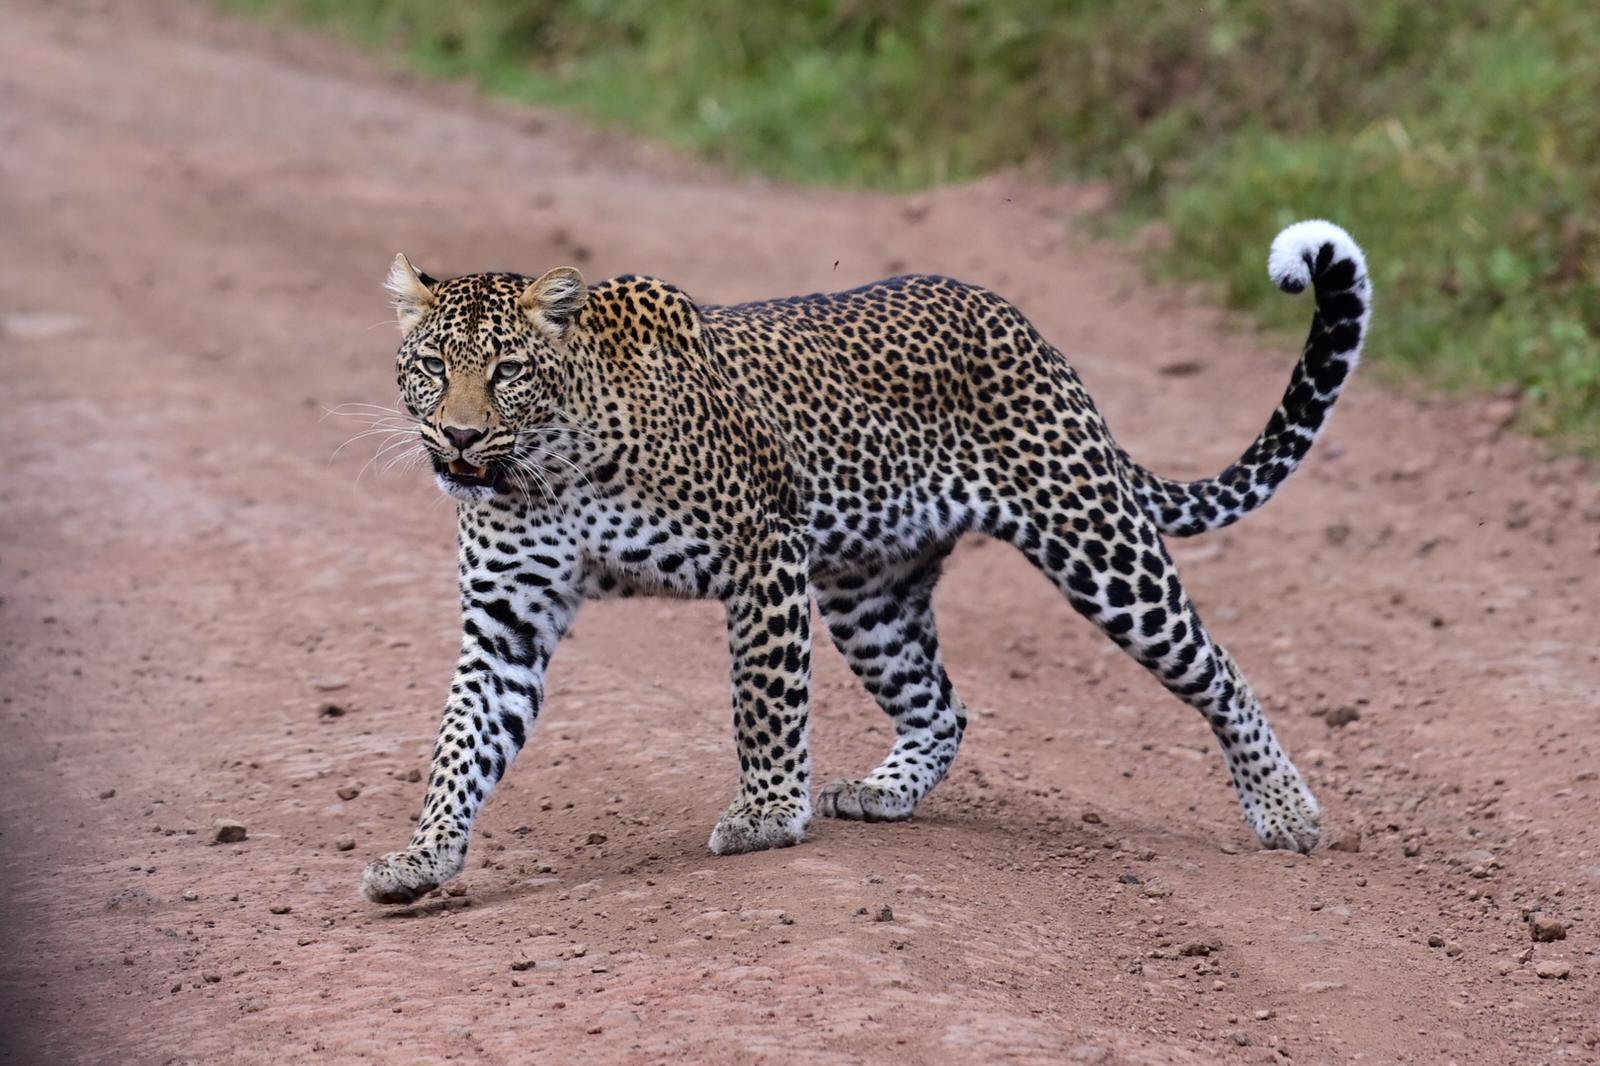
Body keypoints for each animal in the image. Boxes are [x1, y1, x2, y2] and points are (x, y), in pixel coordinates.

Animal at [358, 220, 1371, 905]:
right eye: (431, 366)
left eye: (507, 372)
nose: (458, 436)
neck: (549, 468)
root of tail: (1027, 329)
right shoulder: (508, 620)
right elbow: (461, 744)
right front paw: (422, 857)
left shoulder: (763, 549)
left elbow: (765, 701)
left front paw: (767, 815)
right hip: (869, 595)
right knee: (943, 705)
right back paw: (885, 793)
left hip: (1097, 544)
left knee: (1215, 667)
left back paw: (1286, 811)